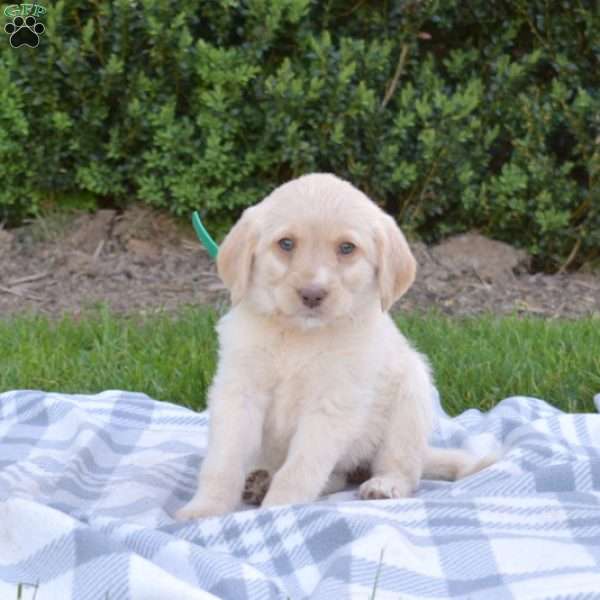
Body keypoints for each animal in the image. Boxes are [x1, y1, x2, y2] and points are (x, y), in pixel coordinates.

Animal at [177, 173, 492, 520]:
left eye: (346, 248)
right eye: (286, 243)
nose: (312, 294)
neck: (300, 336)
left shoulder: (332, 405)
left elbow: (299, 469)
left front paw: (277, 511)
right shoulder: (239, 393)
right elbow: (223, 462)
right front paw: (204, 510)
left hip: (411, 397)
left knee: (402, 468)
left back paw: (384, 485)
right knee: (336, 476)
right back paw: (259, 480)